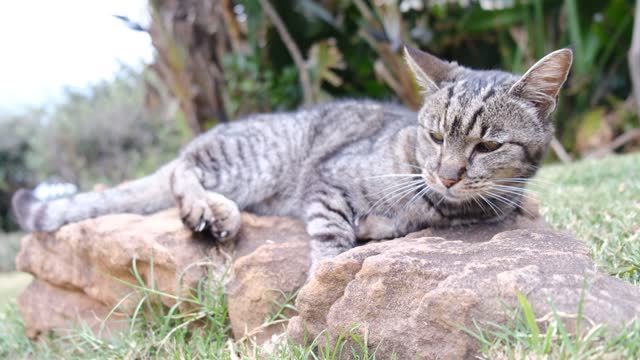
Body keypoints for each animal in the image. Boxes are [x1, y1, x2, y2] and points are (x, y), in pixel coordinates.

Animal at [11, 46, 568, 274]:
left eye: (487, 147)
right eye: (434, 137)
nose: (447, 175)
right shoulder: (325, 181)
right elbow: (330, 236)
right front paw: (328, 271)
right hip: (251, 159)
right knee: (183, 170)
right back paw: (207, 209)